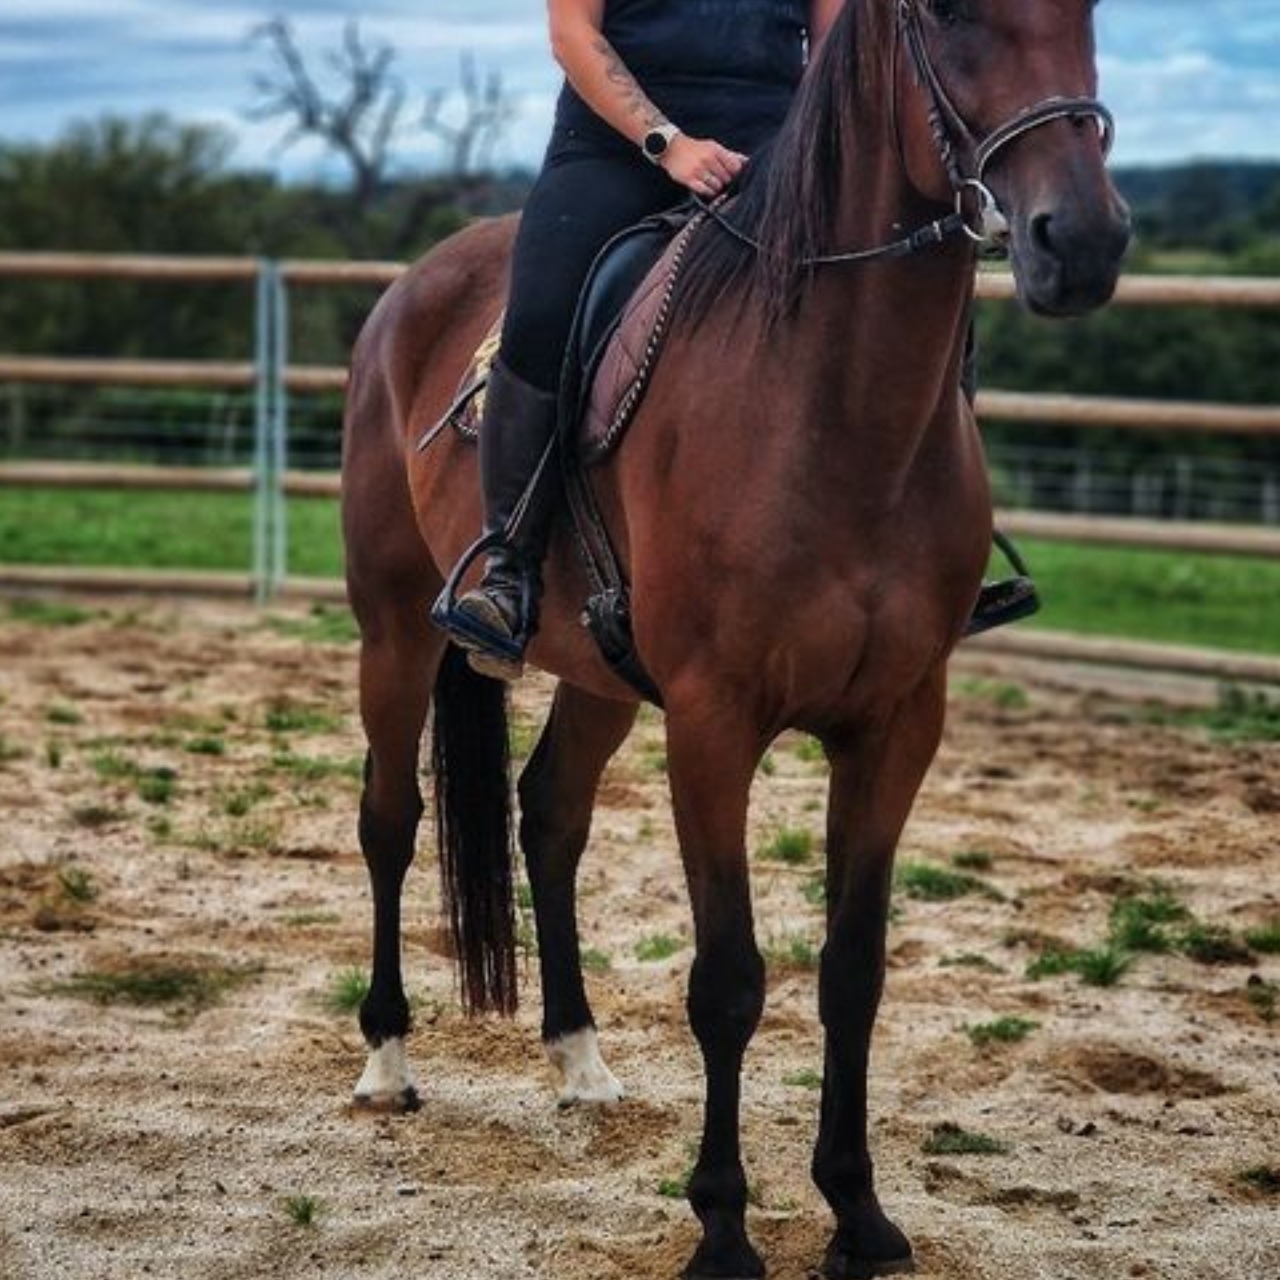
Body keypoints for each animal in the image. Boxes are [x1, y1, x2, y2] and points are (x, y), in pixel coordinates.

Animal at [339, 1, 1130, 1275]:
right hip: (392, 627)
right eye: (947, 17)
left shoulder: (895, 724)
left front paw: (857, 1211)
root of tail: (414, 286)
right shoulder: (714, 723)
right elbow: (727, 979)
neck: (829, 407)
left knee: (547, 814)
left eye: (1087, 17)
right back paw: (386, 1058)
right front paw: (719, 1224)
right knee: (389, 820)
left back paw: (579, 1059)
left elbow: (850, 972)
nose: (1083, 239)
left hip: (598, 674)